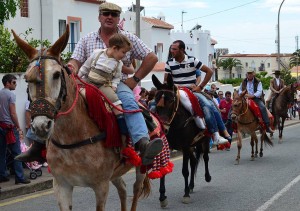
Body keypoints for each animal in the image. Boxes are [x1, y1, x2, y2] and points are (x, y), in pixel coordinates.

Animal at [12, 26, 149, 211]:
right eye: (26, 78)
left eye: (56, 75)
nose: (41, 126)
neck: (72, 137)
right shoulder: (61, 185)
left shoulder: (101, 186)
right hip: (115, 173)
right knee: (122, 189)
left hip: (141, 166)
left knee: (136, 189)